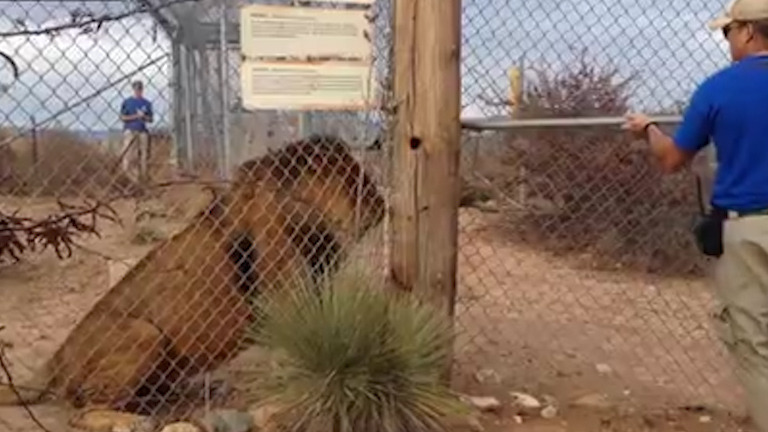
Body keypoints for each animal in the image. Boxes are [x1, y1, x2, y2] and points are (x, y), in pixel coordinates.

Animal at [0, 134, 384, 428]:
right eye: (350, 179)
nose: (380, 206)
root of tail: (57, 358)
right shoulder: (284, 295)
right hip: (144, 332)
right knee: (81, 413)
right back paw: (136, 421)